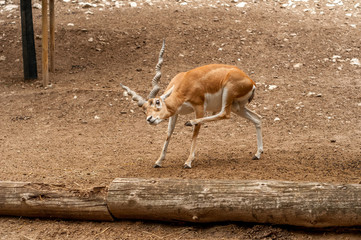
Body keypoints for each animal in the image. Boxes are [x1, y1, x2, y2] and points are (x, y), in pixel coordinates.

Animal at [119, 40, 262, 169]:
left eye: (157, 102)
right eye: (144, 109)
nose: (149, 119)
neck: (183, 84)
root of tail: (251, 81)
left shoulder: (199, 107)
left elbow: (195, 133)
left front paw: (188, 162)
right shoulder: (174, 112)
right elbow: (168, 133)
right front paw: (158, 162)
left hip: (228, 95)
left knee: (224, 114)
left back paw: (189, 122)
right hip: (237, 107)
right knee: (257, 118)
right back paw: (258, 154)